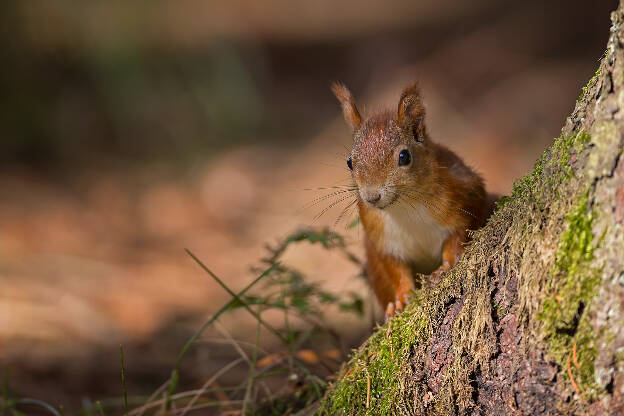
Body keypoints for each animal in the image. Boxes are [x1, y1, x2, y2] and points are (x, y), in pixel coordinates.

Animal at [332, 81, 492, 316]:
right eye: (349, 162)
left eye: (404, 156)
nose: (371, 197)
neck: (404, 207)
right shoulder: (381, 238)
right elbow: (395, 269)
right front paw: (400, 299)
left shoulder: (464, 191)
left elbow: (461, 232)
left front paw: (447, 265)